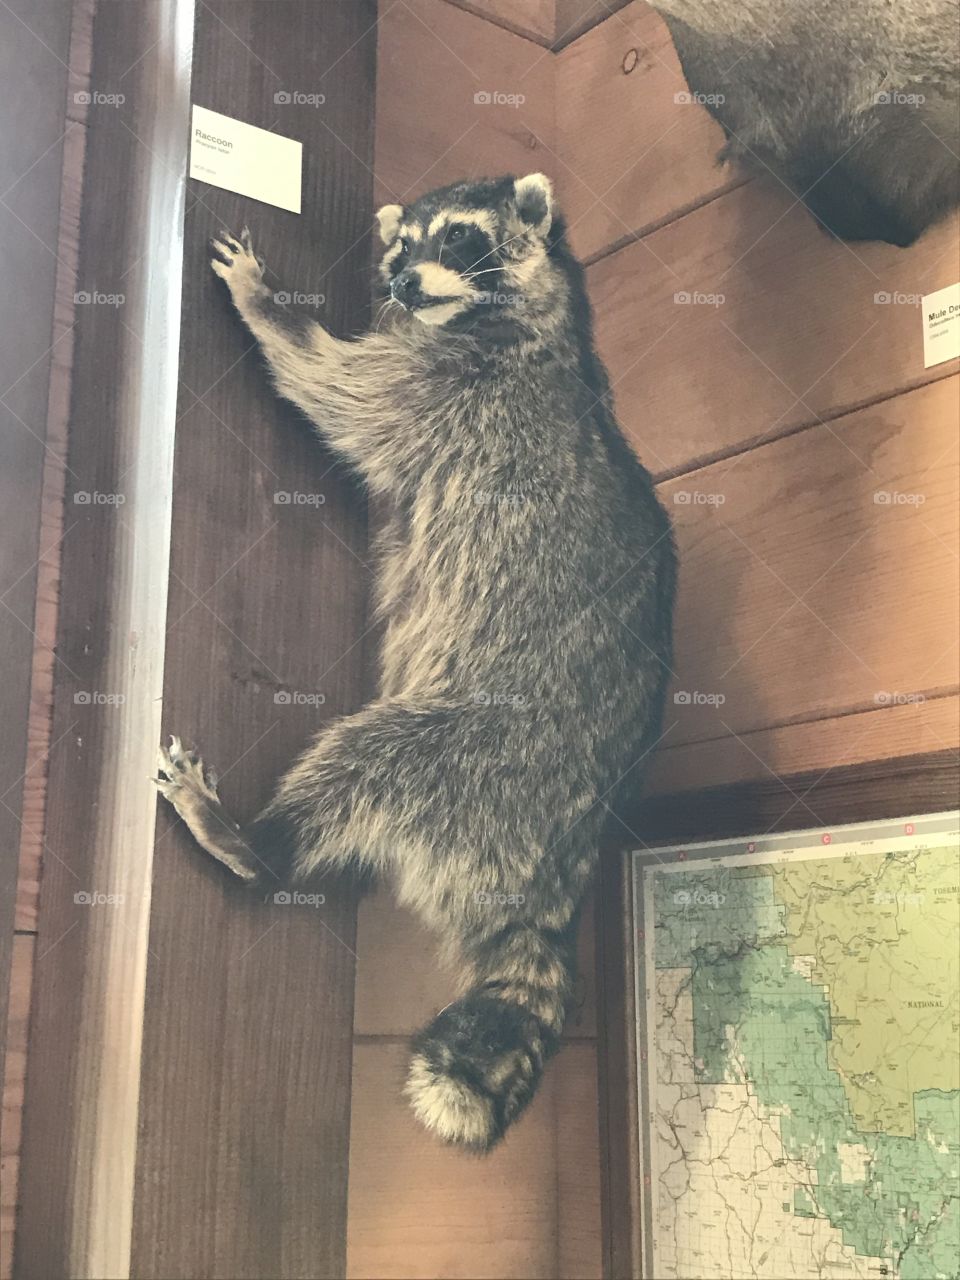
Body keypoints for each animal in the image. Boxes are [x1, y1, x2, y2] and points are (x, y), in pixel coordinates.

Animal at [156, 174, 675, 1151]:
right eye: (399, 251)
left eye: (463, 240)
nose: (398, 283)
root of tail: (558, 866)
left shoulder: (457, 389)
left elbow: (339, 389)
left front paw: (266, 306)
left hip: (485, 753)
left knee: (374, 759)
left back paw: (254, 841)